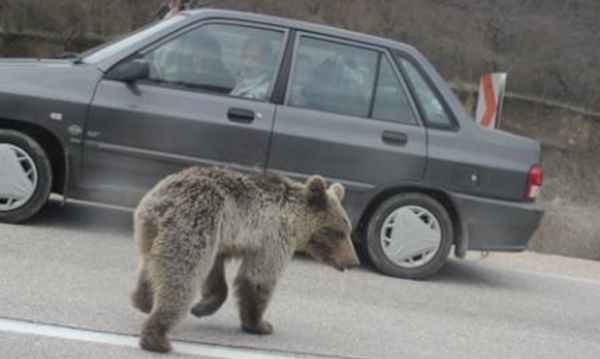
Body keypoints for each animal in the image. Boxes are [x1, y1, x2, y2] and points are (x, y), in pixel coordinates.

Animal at [130, 167, 360, 354]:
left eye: (347, 230)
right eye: (338, 232)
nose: (353, 261)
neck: (295, 221)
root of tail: (164, 198)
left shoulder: (221, 236)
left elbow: (216, 274)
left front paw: (202, 306)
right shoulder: (272, 239)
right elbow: (257, 279)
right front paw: (260, 324)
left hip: (153, 229)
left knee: (151, 266)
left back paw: (144, 301)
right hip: (192, 223)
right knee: (181, 277)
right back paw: (157, 339)